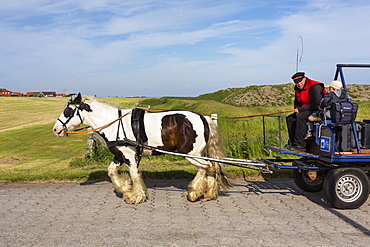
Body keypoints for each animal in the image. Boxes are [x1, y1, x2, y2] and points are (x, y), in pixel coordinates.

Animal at [52, 93, 231, 205]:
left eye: (68, 111)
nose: (56, 130)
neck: (115, 124)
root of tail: (203, 118)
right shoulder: (119, 155)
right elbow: (111, 172)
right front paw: (124, 187)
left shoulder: (129, 157)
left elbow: (134, 174)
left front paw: (135, 196)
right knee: (211, 167)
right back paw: (209, 193)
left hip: (191, 154)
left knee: (206, 167)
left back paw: (195, 192)